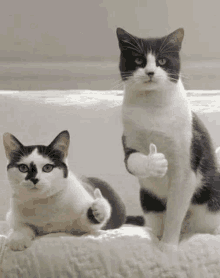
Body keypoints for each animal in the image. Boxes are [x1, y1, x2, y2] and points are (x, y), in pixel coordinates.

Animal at [116, 27, 220, 252]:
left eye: (162, 60)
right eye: (138, 60)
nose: (150, 72)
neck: (152, 108)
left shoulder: (186, 161)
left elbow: (175, 212)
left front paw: (169, 246)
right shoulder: (129, 138)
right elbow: (132, 161)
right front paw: (154, 162)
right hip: (148, 201)